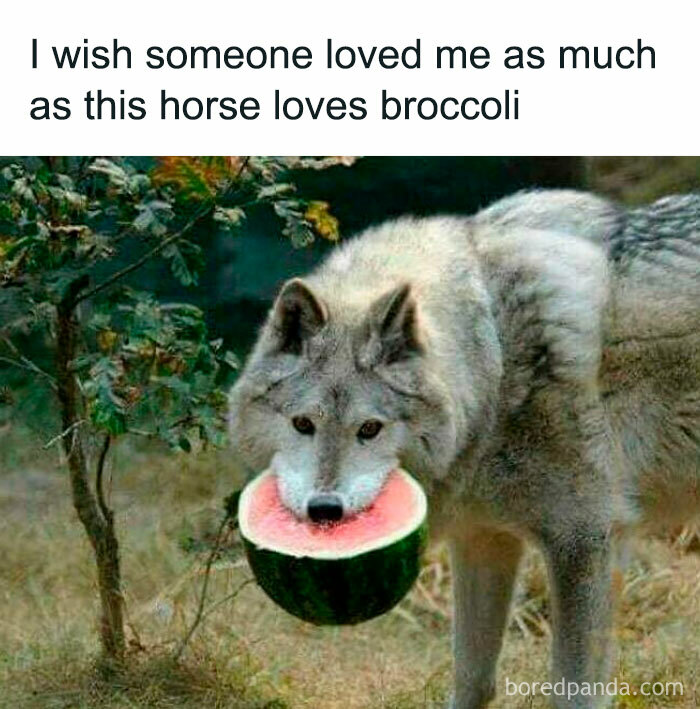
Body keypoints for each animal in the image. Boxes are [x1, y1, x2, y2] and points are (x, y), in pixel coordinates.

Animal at [228, 189, 700, 708]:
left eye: (370, 428)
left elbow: (574, 690)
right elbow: (472, 677)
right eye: (303, 424)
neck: (493, 359)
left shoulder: (587, 540)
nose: (325, 510)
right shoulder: (482, 538)